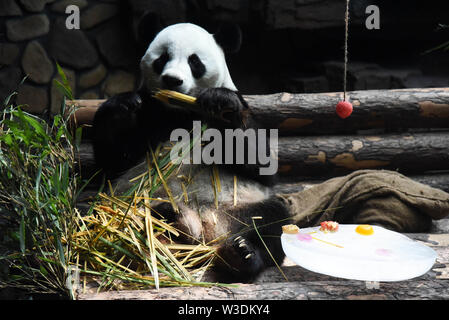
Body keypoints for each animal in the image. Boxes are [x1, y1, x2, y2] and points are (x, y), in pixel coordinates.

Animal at [93, 23, 292, 282]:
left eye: (194, 61)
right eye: (162, 58)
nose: (172, 80)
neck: (181, 110)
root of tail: (208, 232)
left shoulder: (243, 109)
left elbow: (262, 165)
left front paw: (222, 104)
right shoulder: (151, 115)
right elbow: (113, 161)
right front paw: (121, 106)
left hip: (243, 208)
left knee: (273, 222)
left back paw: (241, 255)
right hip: (128, 204)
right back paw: (176, 221)